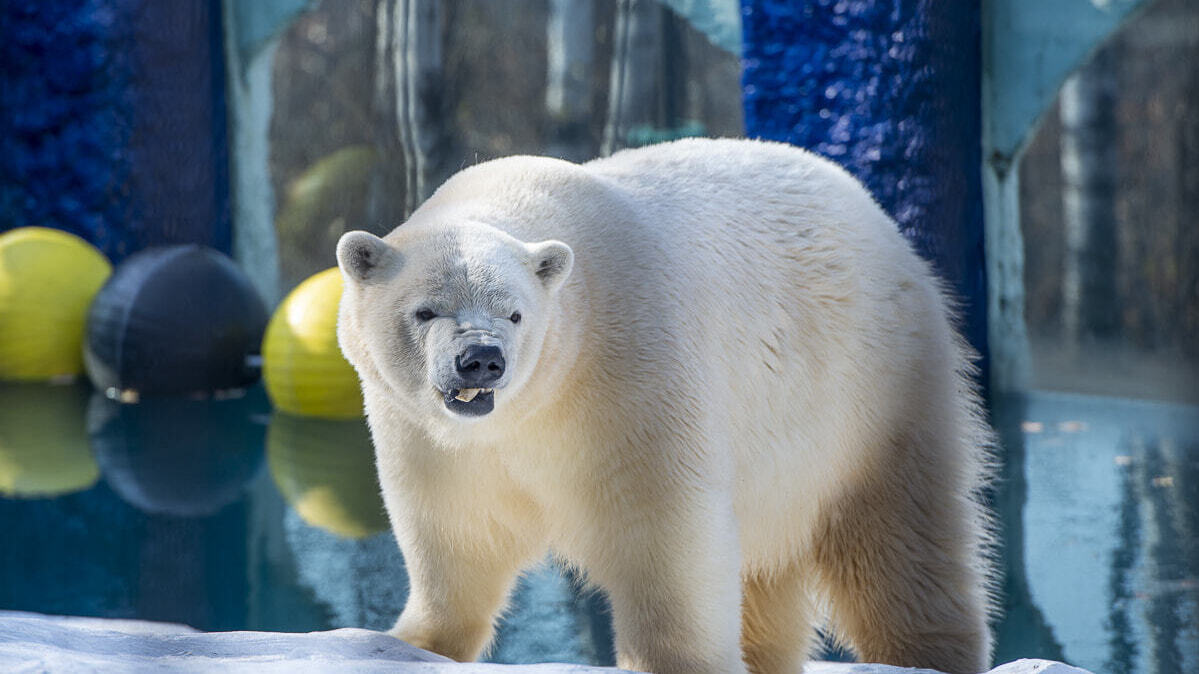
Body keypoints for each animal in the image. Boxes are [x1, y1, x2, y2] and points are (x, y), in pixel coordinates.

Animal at [335, 137, 992, 671]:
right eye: (425, 311)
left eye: (515, 314)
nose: (481, 359)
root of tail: (877, 216)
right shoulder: (427, 432)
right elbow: (454, 533)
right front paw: (413, 641)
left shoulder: (629, 369)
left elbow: (662, 528)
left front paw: (673, 661)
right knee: (765, 571)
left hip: (872, 389)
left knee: (901, 535)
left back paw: (926, 651)